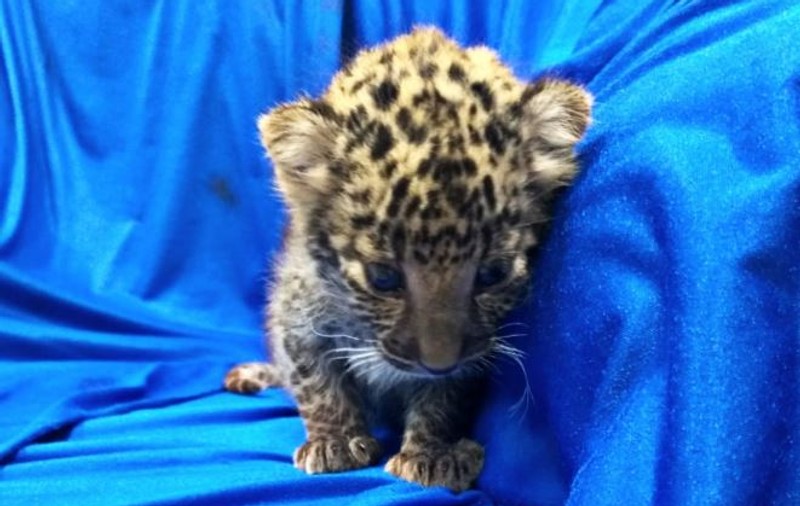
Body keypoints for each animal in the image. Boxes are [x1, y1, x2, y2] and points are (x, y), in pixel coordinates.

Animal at [224, 27, 591, 492]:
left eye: (492, 273)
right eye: (383, 278)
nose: (437, 363)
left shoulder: (470, 362)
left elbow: (444, 397)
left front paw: (431, 453)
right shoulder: (296, 312)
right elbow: (314, 379)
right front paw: (335, 441)